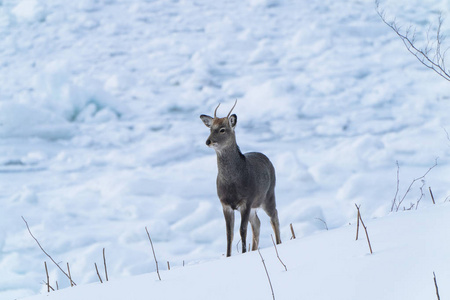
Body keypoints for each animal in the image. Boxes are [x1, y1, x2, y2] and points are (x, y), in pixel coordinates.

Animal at [199, 101, 280, 255]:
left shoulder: (246, 201)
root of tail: (267, 159)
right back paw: (254, 249)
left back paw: (279, 243)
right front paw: (229, 256)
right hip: (255, 205)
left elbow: (242, 230)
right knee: (257, 223)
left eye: (222, 129)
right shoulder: (225, 203)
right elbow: (229, 233)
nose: (208, 141)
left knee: (274, 216)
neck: (232, 183)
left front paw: (243, 253)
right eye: (210, 129)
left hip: (268, 195)